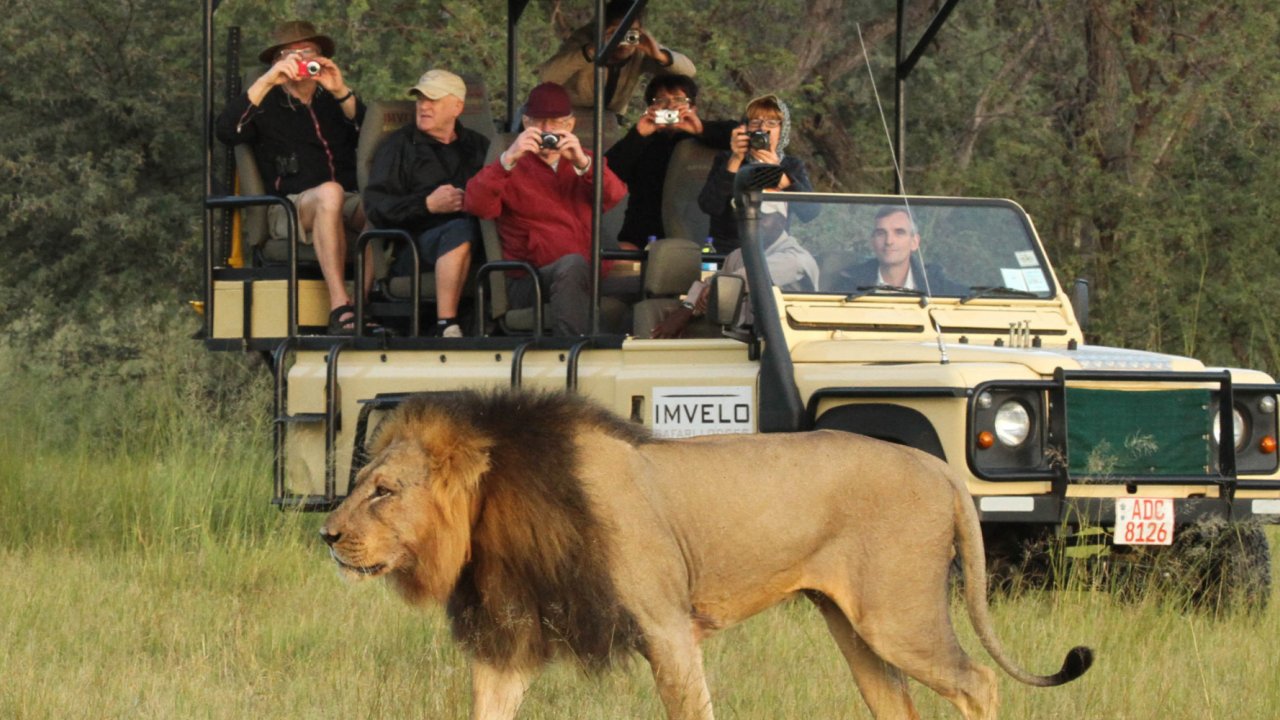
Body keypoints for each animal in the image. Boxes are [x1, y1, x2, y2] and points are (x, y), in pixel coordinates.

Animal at [321, 389, 1092, 720]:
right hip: (854, 625)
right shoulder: (510, 640)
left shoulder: (666, 629)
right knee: (896, 701)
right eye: (360, 483)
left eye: (384, 492)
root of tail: (942, 471)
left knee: (978, 681)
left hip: (897, 618)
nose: (327, 535)